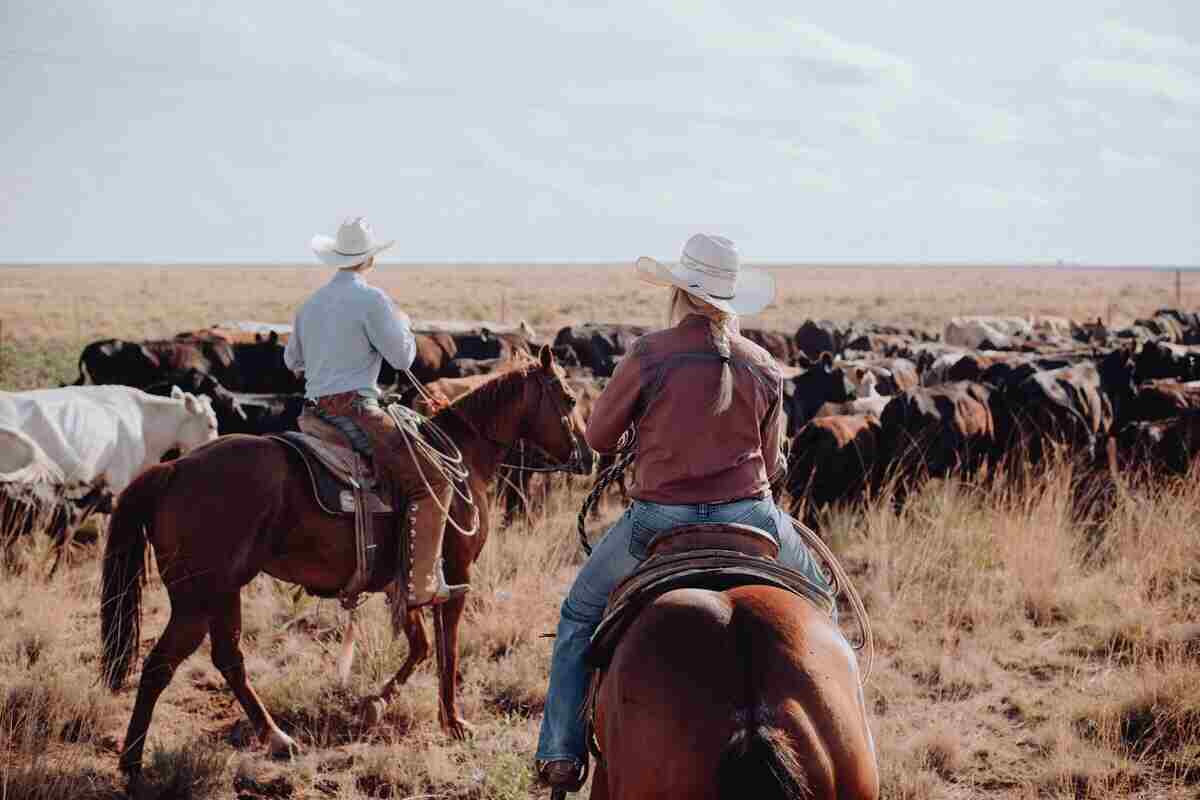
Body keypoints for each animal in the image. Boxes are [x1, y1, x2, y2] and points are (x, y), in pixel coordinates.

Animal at [100, 347, 592, 777]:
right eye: (569, 399)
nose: (589, 455)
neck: (463, 457)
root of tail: (174, 470)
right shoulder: (454, 573)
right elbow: (447, 649)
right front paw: (454, 722)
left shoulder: (402, 580)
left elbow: (420, 645)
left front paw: (376, 702)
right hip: (196, 598)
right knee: (161, 665)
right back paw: (132, 761)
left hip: (222, 591)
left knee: (227, 658)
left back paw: (277, 738)